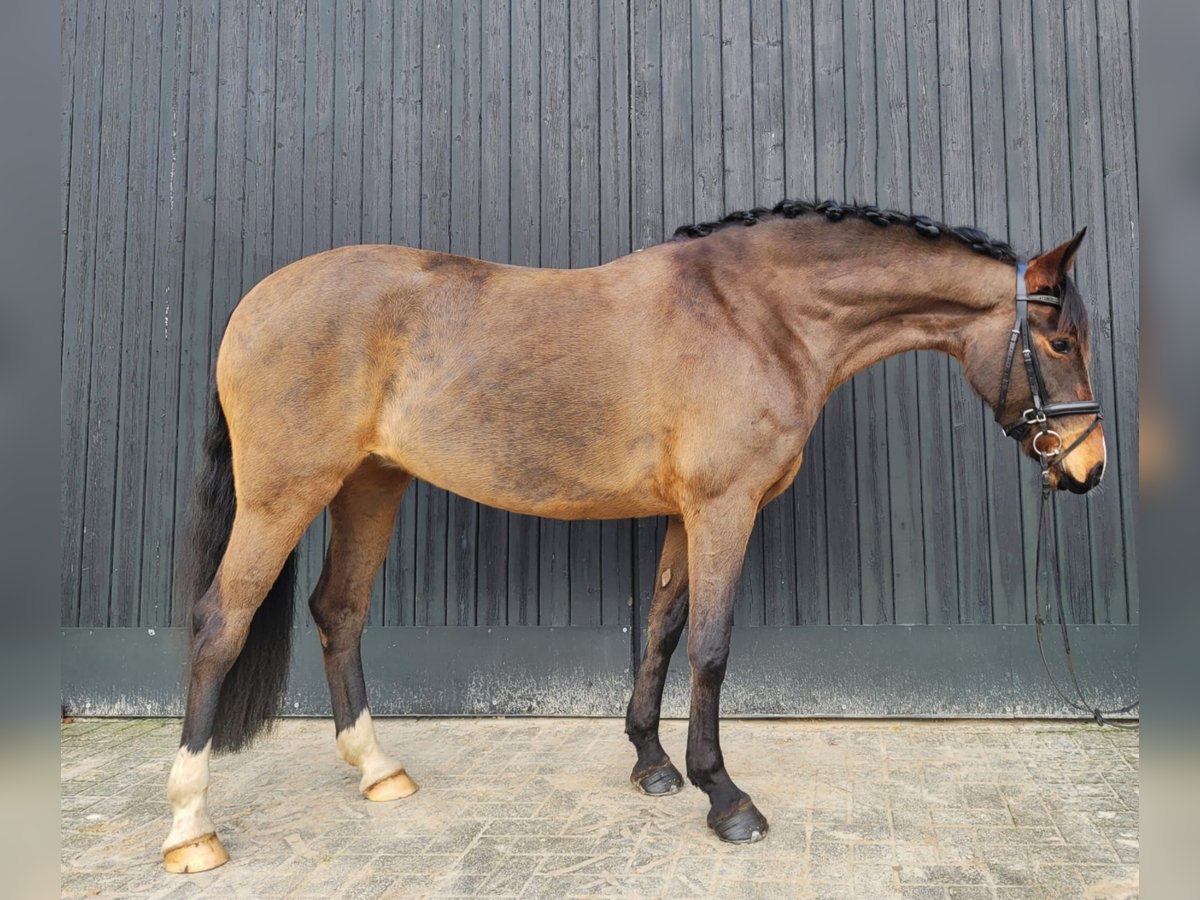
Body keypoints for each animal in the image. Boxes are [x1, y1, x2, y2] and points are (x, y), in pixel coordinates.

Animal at [157, 199, 1104, 873]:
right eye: (1059, 340)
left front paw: (653, 764)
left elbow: (662, 630)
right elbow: (711, 648)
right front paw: (726, 798)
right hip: (284, 494)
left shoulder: (687, 516)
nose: (1086, 469)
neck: (756, 314)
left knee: (339, 611)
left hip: (368, 486)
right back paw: (191, 829)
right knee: (219, 625)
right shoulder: (725, 507)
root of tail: (255, 303)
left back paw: (378, 771)